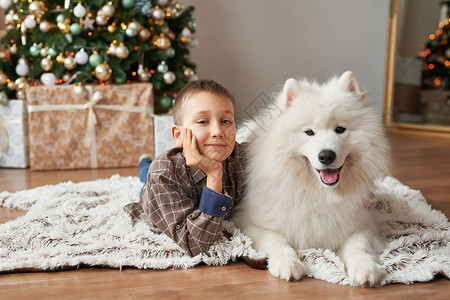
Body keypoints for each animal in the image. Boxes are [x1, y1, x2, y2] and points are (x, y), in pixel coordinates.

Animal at [234, 71, 388, 288]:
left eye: (340, 129)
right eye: (309, 132)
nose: (326, 156)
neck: (319, 193)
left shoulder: (361, 224)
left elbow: (358, 246)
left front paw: (365, 268)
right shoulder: (250, 224)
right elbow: (276, 239)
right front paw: (288, 263)